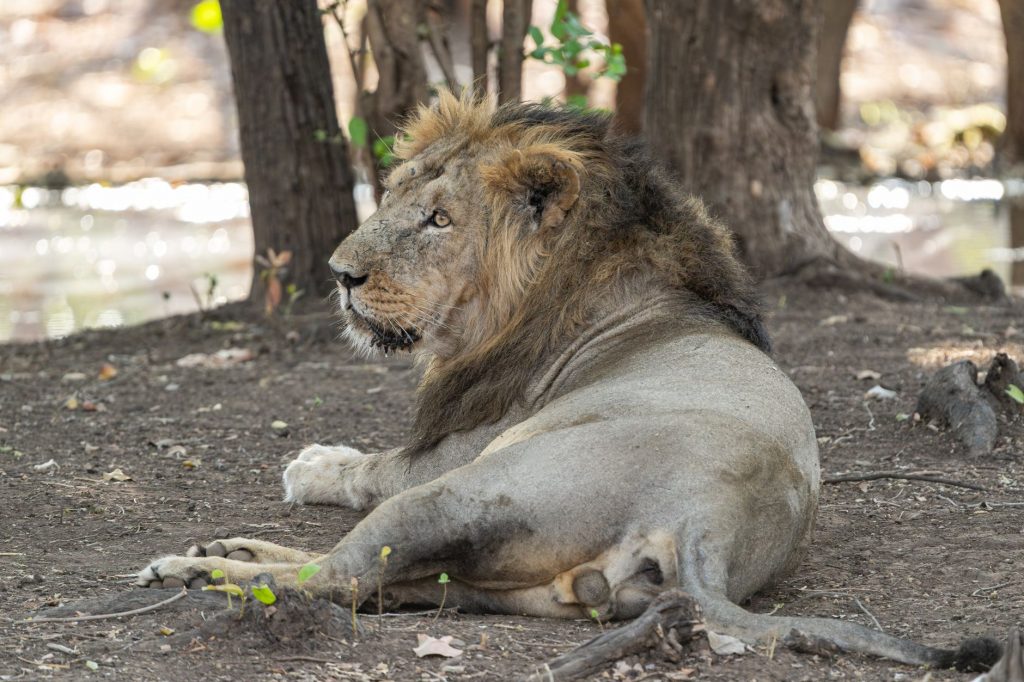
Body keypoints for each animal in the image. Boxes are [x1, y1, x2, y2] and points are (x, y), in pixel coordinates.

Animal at [137, 93, 998, 671]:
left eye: (440, 219)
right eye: (391, 197)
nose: (341, 274)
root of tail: (709, 518)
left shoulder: (453, 450)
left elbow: (367, 468)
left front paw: (311, 463)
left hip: (469, 489)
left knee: (340, 576)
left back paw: (201, 570)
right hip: (507, 579)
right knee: (374, 581)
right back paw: (224, 549)